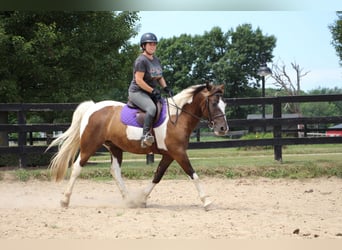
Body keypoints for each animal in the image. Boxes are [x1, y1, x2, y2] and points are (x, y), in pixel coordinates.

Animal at [46, 83, 228, 210]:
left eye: (224, 105)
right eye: (213, 103)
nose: (223, 129)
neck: (177, 118)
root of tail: (93, 107)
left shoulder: (169, 154)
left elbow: (157, 175)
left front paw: (141, 199)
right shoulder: (178, 153)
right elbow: (193, 174)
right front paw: (207, 201)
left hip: (115, 148)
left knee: (115, 171)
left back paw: (129, 200)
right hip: (89, 146)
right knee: (77, 167)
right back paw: (64, 200)